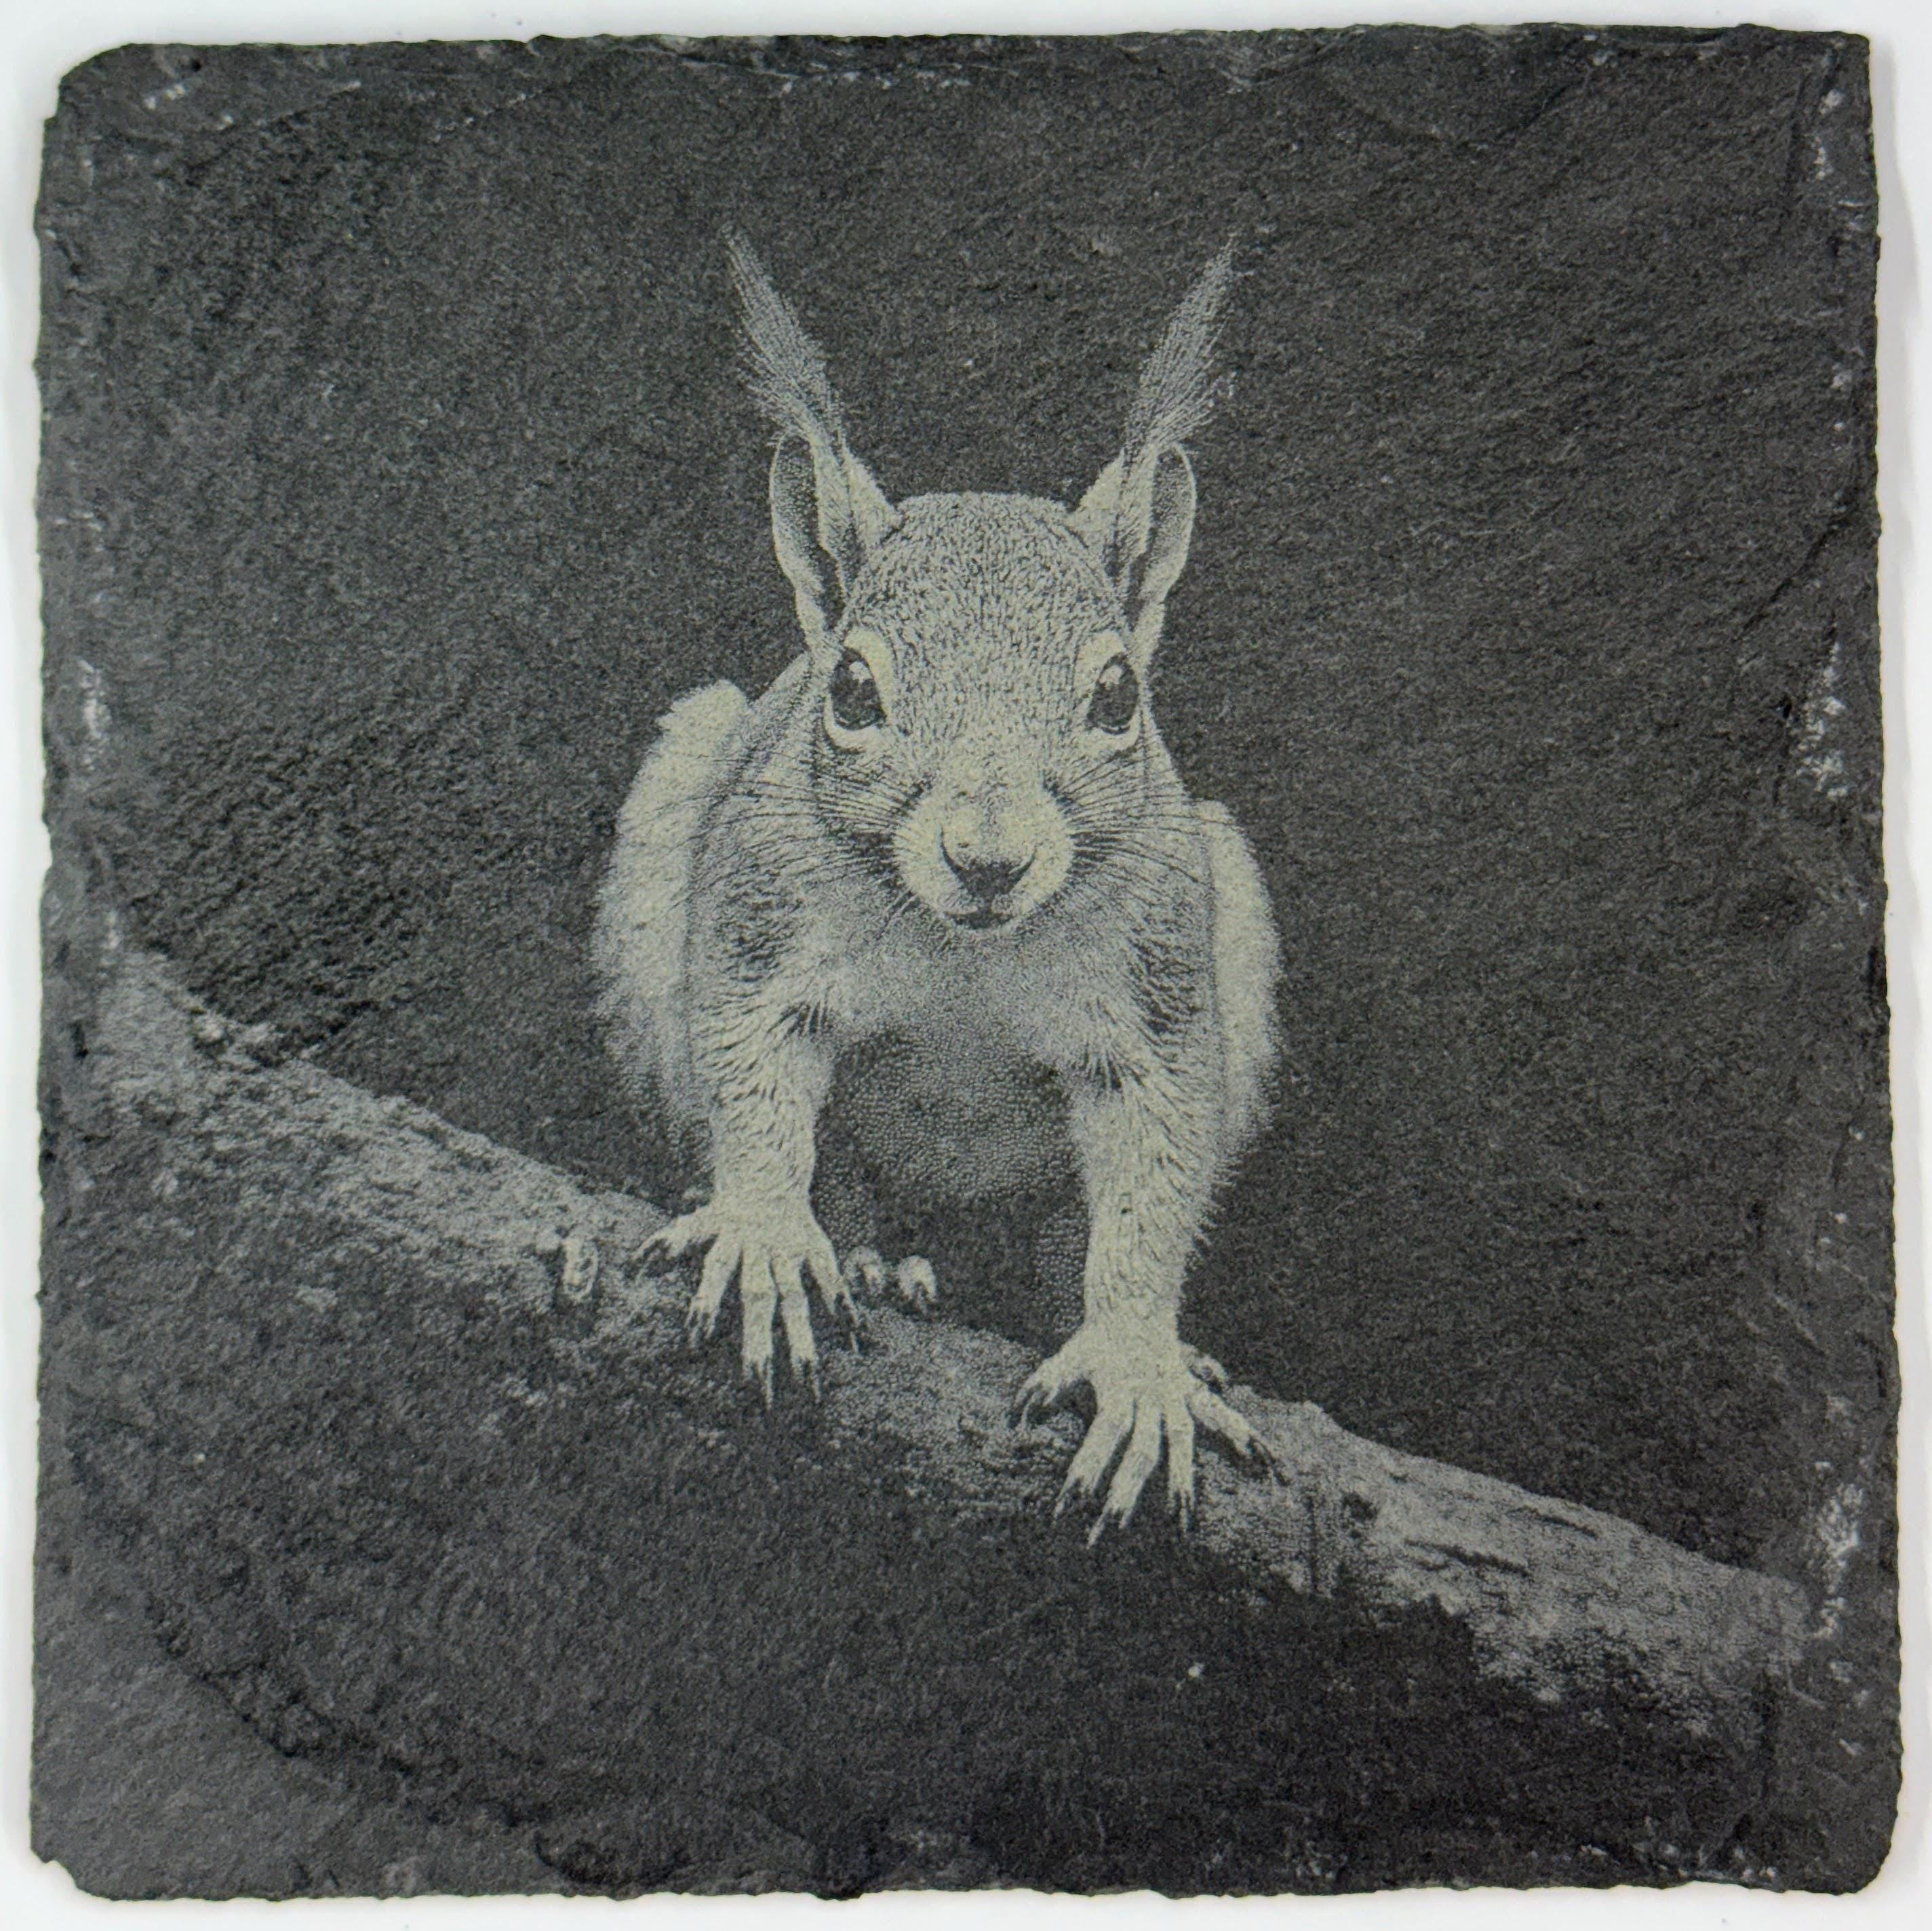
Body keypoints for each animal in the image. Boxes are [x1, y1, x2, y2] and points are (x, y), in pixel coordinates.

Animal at [593, 233, 1284, 1536]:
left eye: (1117, 695)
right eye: (853, 690)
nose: (988, 857)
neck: (970, 950)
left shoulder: (1161, 988)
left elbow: (1151, 1173)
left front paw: (1133, 1356)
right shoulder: (761, 921)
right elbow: (754, 1083)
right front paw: (765, 1229)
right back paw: (872, 1255)